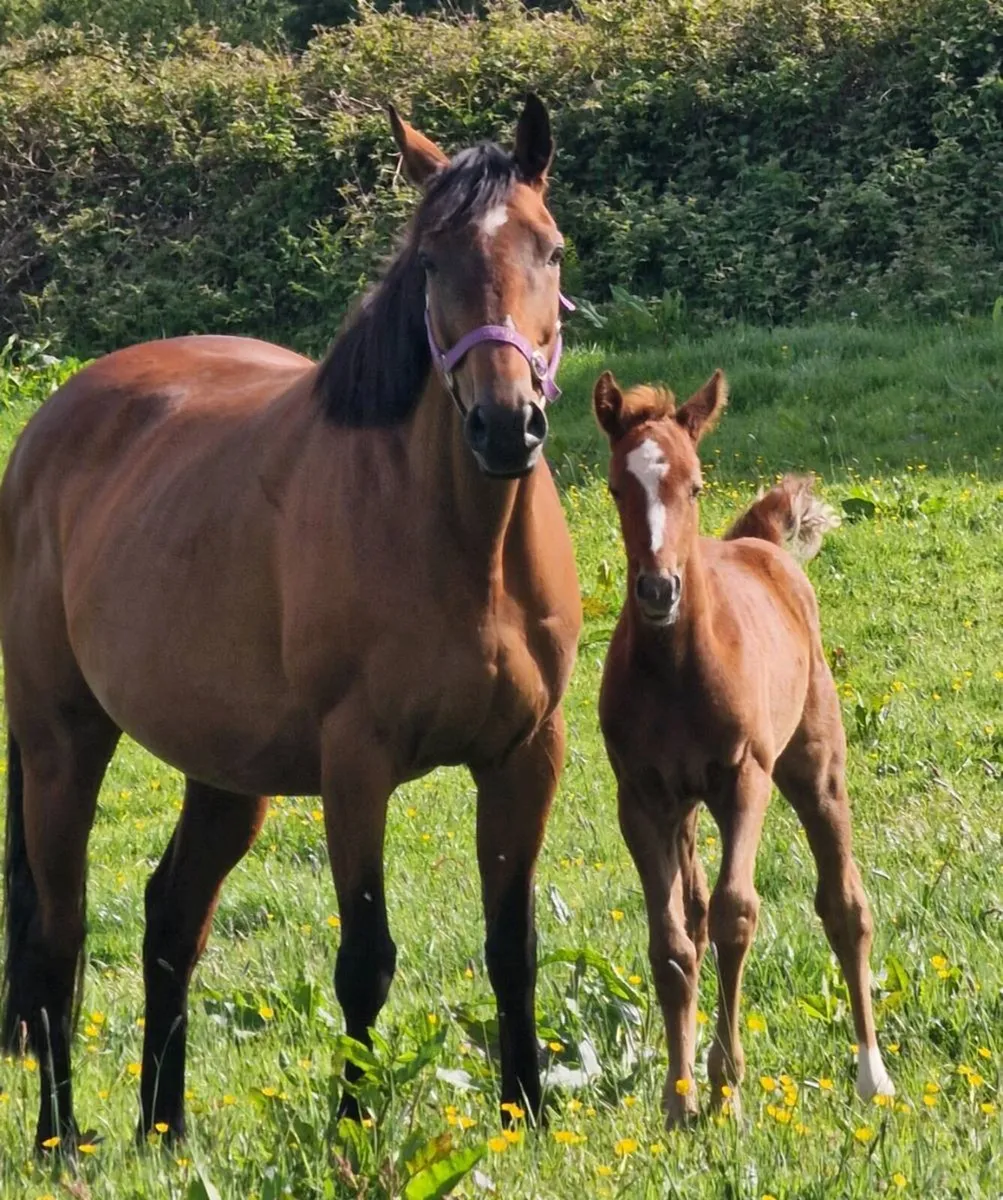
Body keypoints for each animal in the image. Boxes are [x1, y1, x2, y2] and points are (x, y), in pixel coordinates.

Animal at [0, 95, 581, 1153]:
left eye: (549, 250)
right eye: (429, 261)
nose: (503, 425)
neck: (463, 544)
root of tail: (46, 432)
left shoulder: (527, 754)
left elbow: (511, 946)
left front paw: (524, 1115)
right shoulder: (357, 765)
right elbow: (366, 961)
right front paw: (353, 1130)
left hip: (227, 775)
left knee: (170, 916)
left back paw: (165, 1128)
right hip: (63, 741)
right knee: (58, 937)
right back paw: (61, 1139)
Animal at [592, 369, 894, 1127]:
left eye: (696, 485)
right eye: (615, 487)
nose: (658, 589)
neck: (675, 667)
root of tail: (760, 544)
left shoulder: (743, 781)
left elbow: (737, 913)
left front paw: (728, 1087)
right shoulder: (642, 800)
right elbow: (671, 945)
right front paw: (679, 1099)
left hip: (816, 769)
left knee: (844, 906)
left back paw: (872, 1075)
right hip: (687, 812)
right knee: (694, 918)